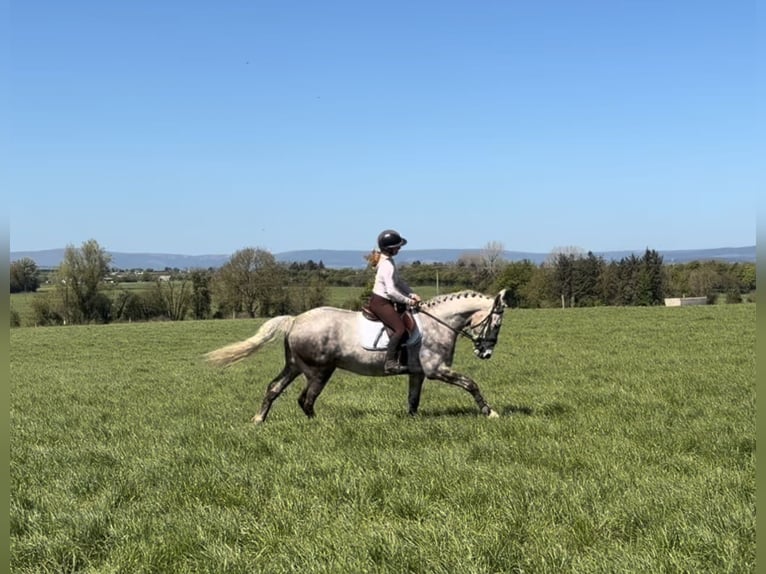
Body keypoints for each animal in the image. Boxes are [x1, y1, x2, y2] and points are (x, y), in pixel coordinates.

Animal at [204, 289, 513, 423]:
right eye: (496, 324)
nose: (485, 352)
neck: (439, 322)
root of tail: (294, 321)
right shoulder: (437, 369)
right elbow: (471, 384)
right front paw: (490, 412)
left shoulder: (418, 372)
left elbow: (413, 398)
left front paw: (411, 420)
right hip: (319, 371)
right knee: (306, 399)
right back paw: (317, 425)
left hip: (295, 366)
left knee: (274, 388)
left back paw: (259, 419)